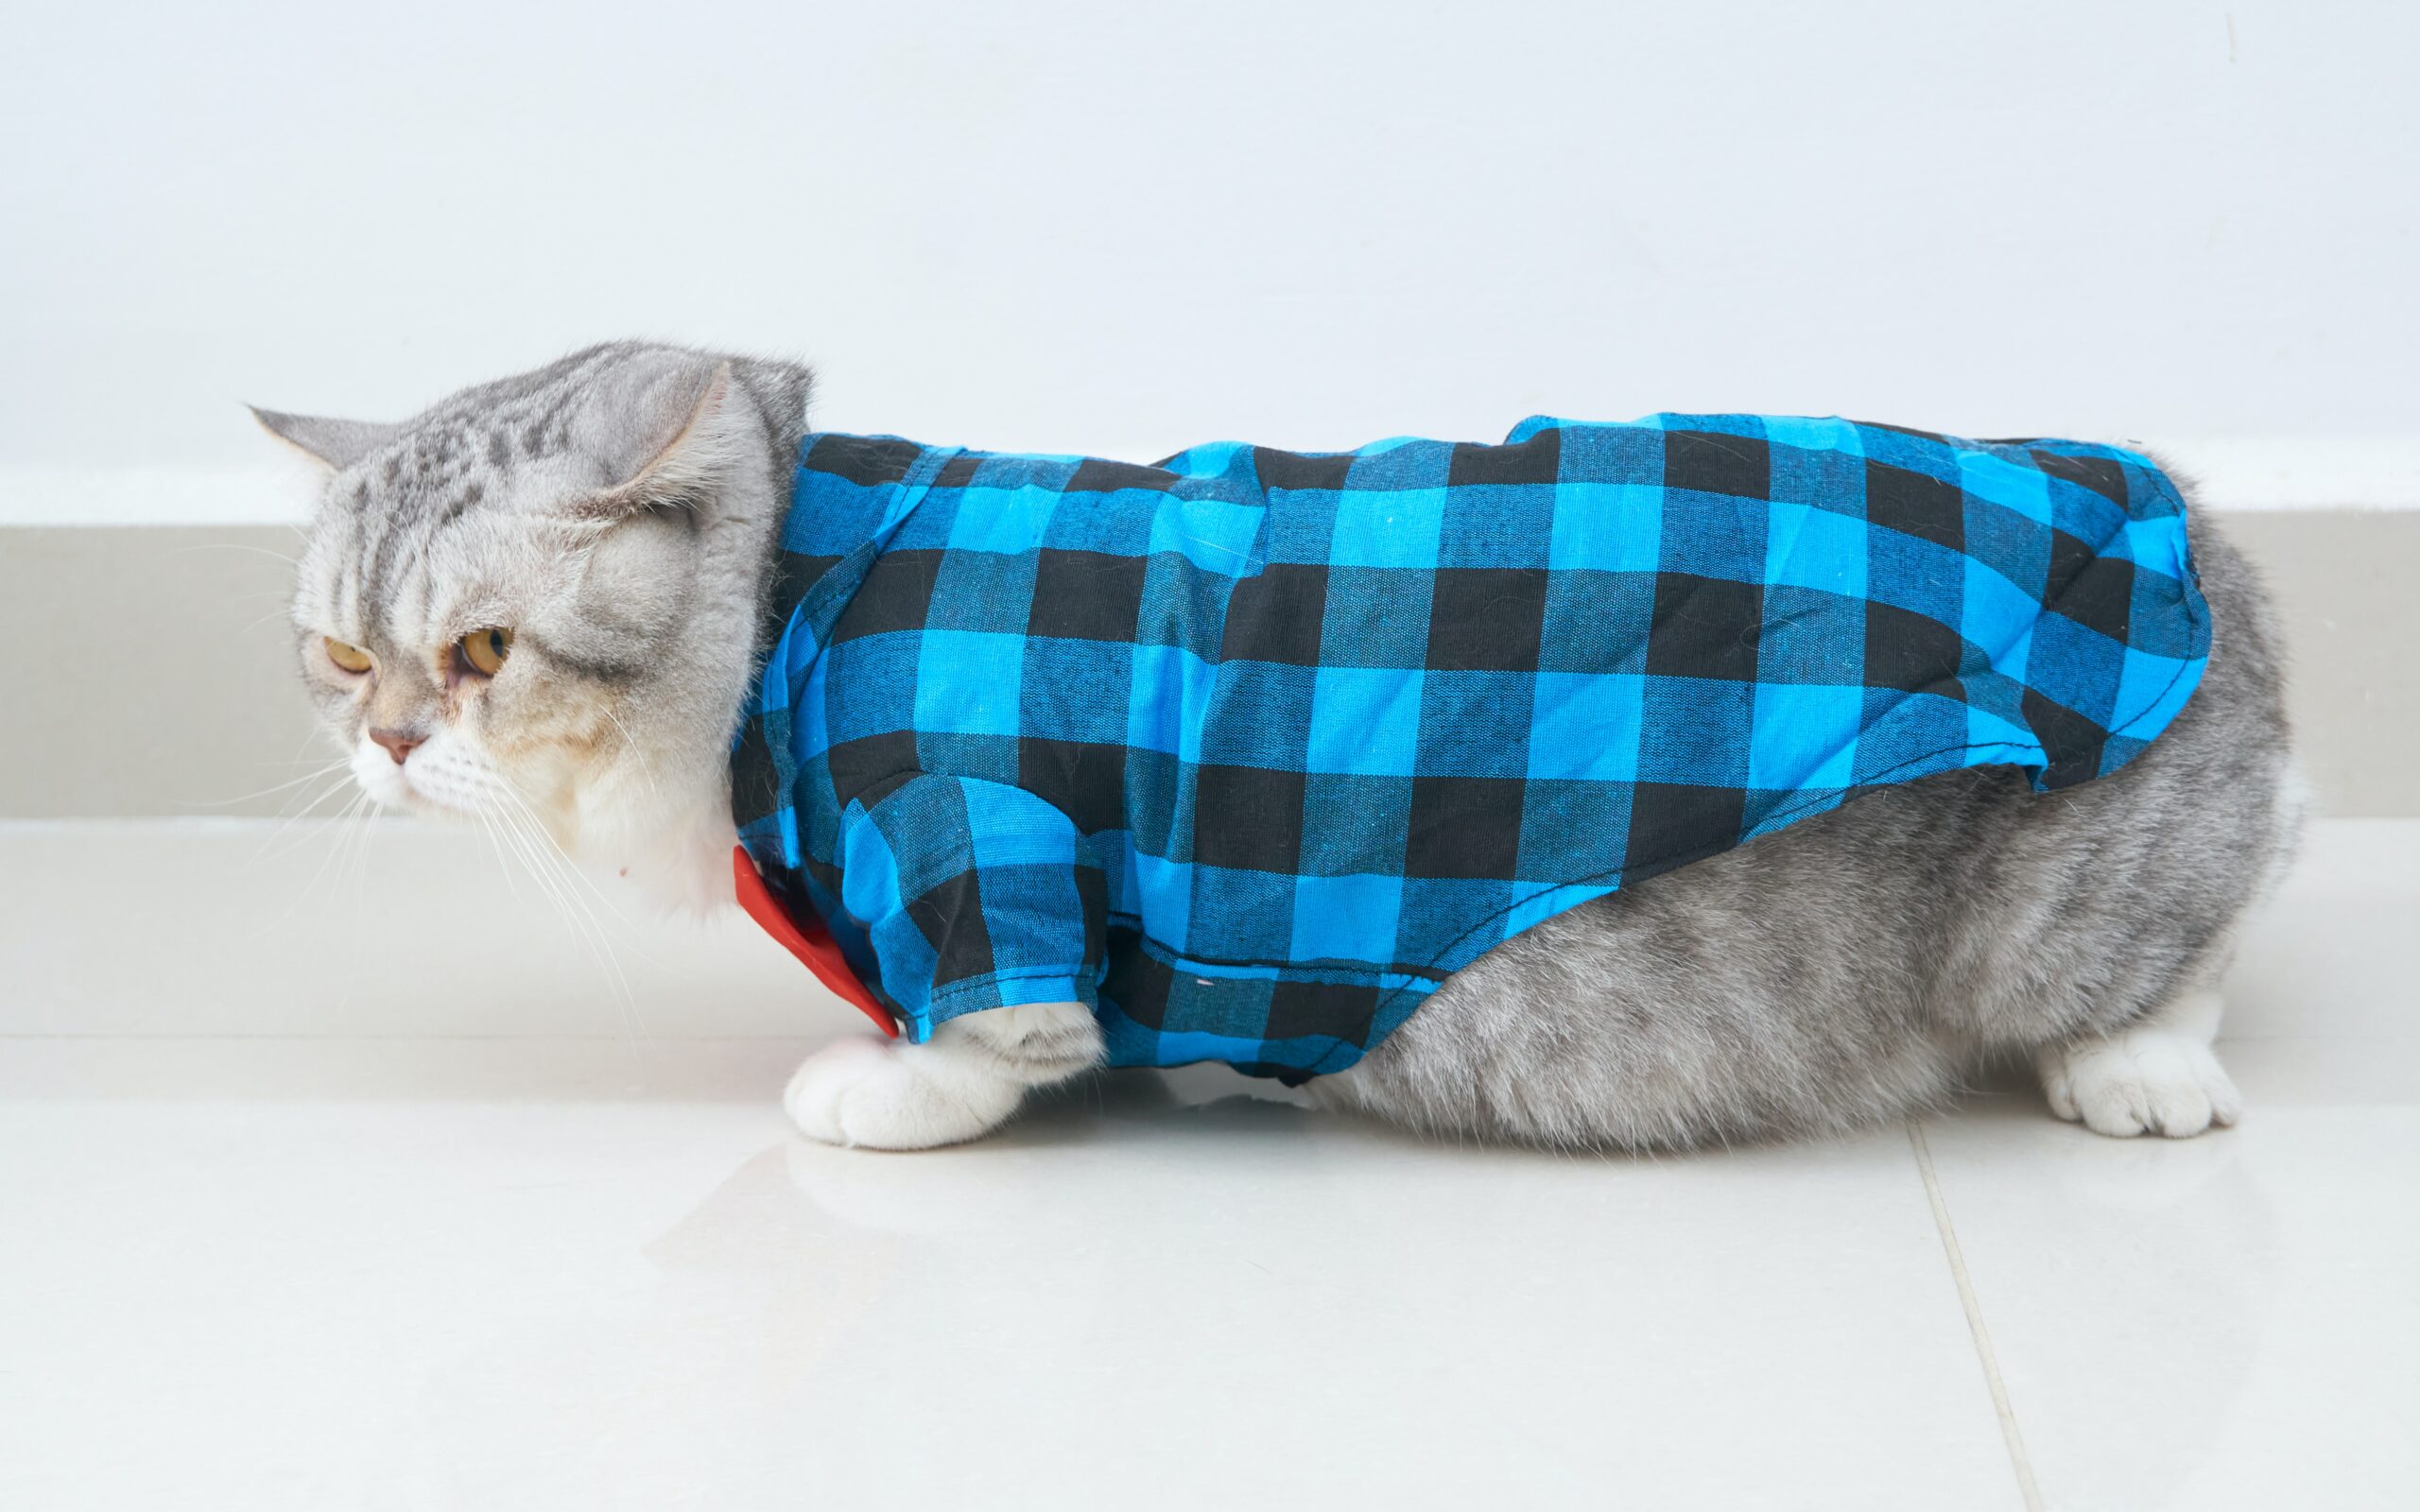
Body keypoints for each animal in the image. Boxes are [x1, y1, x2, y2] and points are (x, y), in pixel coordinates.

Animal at [265, 338, 2304, 1142]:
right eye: (341, 653)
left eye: (477, 653)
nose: (385, 746)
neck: (792, 598)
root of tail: (2187, 518)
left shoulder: (969, 827)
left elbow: (996, 1031)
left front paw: (895, 1081)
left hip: (2072, 884)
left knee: (2206, 925)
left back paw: (2139, 1065)